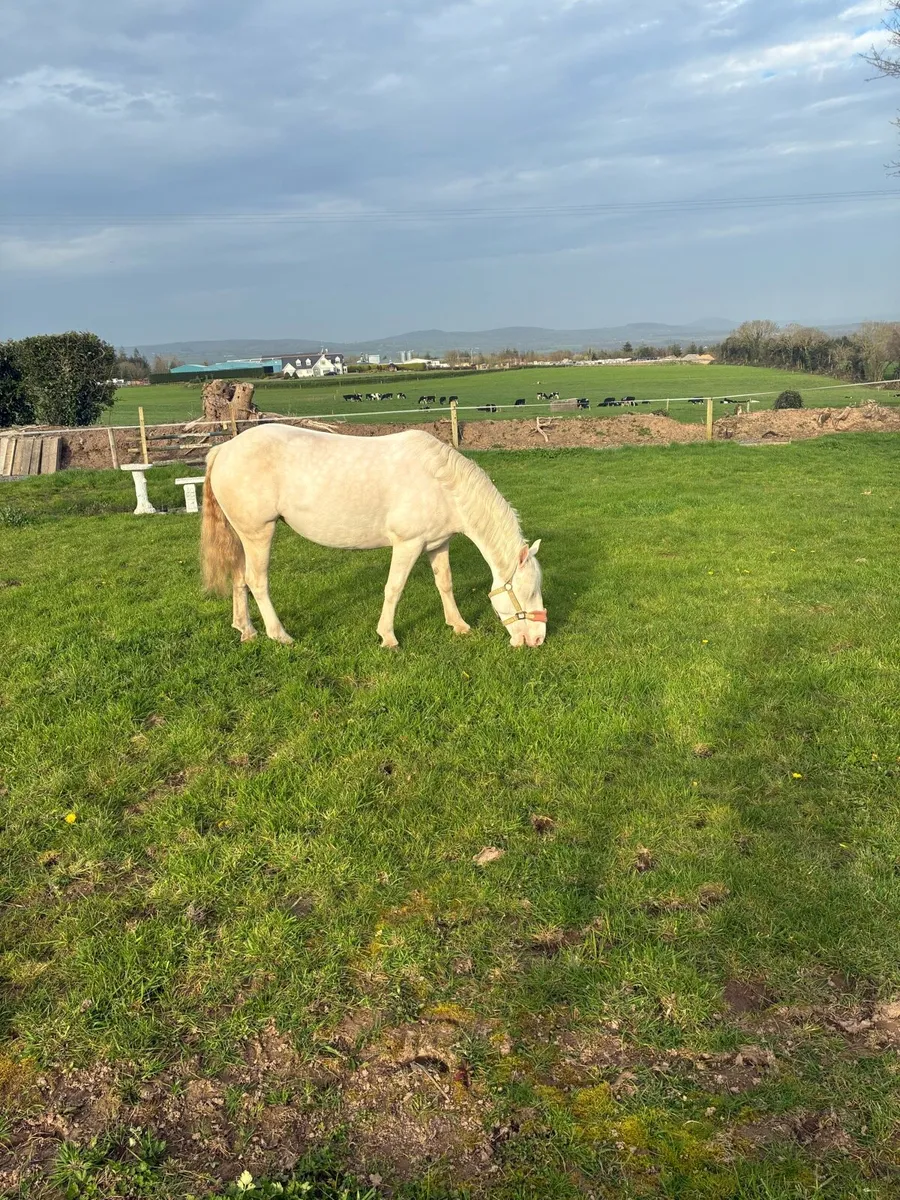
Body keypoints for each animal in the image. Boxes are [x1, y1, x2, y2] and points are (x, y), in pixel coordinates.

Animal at [201, 425, 546, 649]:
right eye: (529, 592)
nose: (539, 639)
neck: (440, 482)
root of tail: (223, 449)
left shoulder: (438, 544)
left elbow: (445, 584)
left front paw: (459, 625)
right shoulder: (408, 544)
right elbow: (394, 589)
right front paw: (388, 637)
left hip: (243, 535)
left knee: (239, 579)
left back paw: (246, 630)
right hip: (260, 533)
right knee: (257, 582)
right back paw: (279, 635)